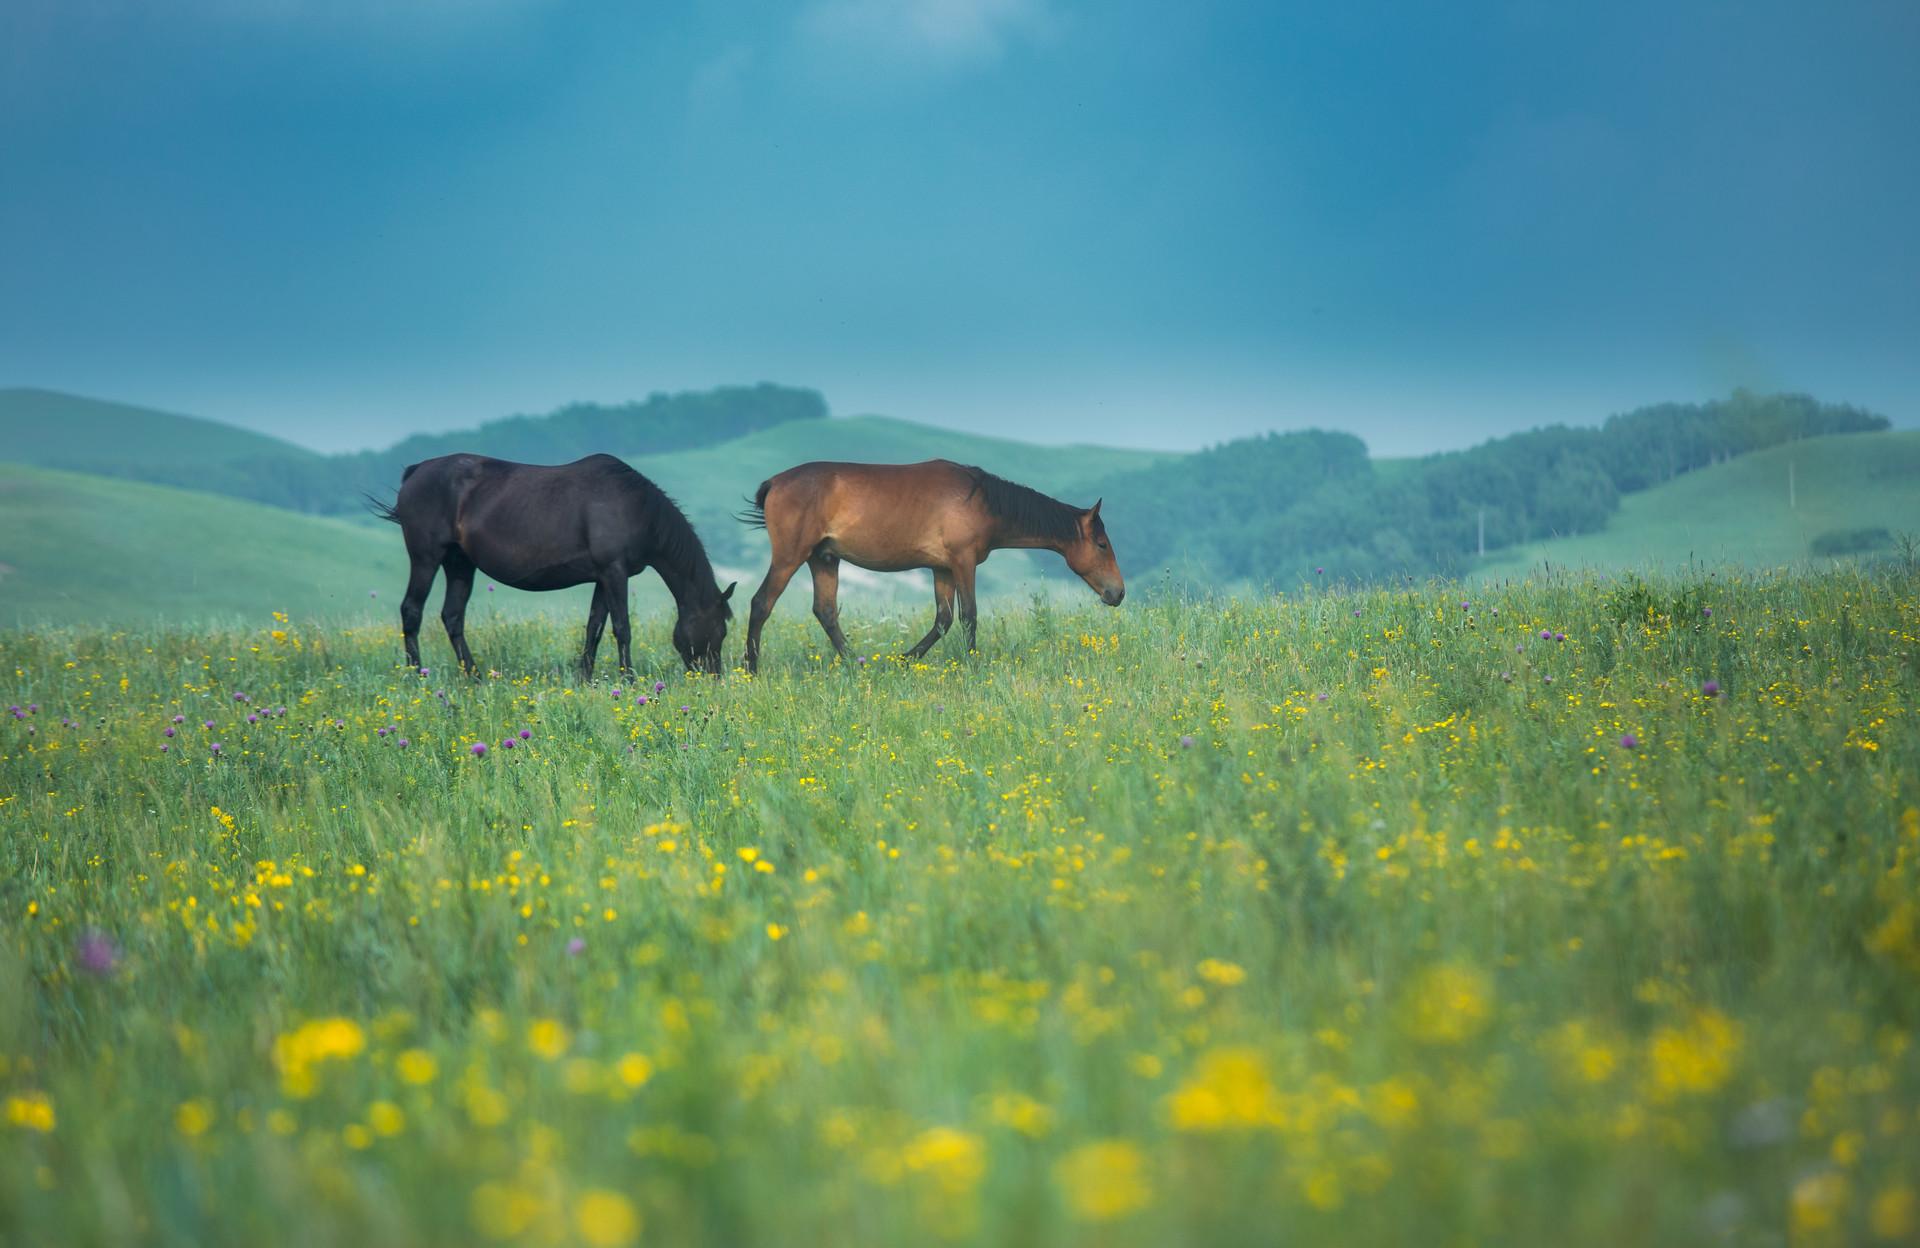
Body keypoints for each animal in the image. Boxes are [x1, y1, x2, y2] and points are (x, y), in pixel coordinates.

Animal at [372, 451, 733, 675]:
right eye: (719, 629)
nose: (712, 678)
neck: (635, 507)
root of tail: (416, 471)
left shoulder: (603, 577)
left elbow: (594, 629)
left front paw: (586, 679)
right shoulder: (615, 573)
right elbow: (622, 628)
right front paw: (628, 679)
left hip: (459, 563)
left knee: (452, 617)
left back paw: (474, 677)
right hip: (426, 557)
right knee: (411, 611)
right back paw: (417, 675)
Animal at [737, 458, 1121, 672]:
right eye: (1102, 545)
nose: (1118, 593)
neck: (982, 499)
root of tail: (775, 482)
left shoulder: (943, 569)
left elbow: (943, 620)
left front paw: (904, 660)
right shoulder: (964, 562)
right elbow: (969, 616)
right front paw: (972, 664)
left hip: (824, 559)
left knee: (826, 611)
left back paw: (856, 663)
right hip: (790, 556)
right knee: (761, 604)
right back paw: (753, 668)